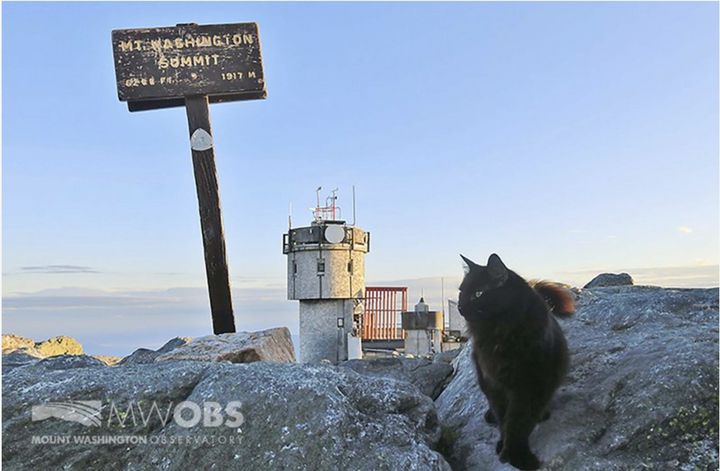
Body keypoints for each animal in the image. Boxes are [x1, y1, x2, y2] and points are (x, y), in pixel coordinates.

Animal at [458, 254, 576, 471]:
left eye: (478, 293)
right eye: (461, 292)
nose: (460, 308)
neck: (499, 332)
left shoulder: (532, 385)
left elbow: (519, 422)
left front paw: (517, 455)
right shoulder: (493, 383)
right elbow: (504, 419)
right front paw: (504, 445)